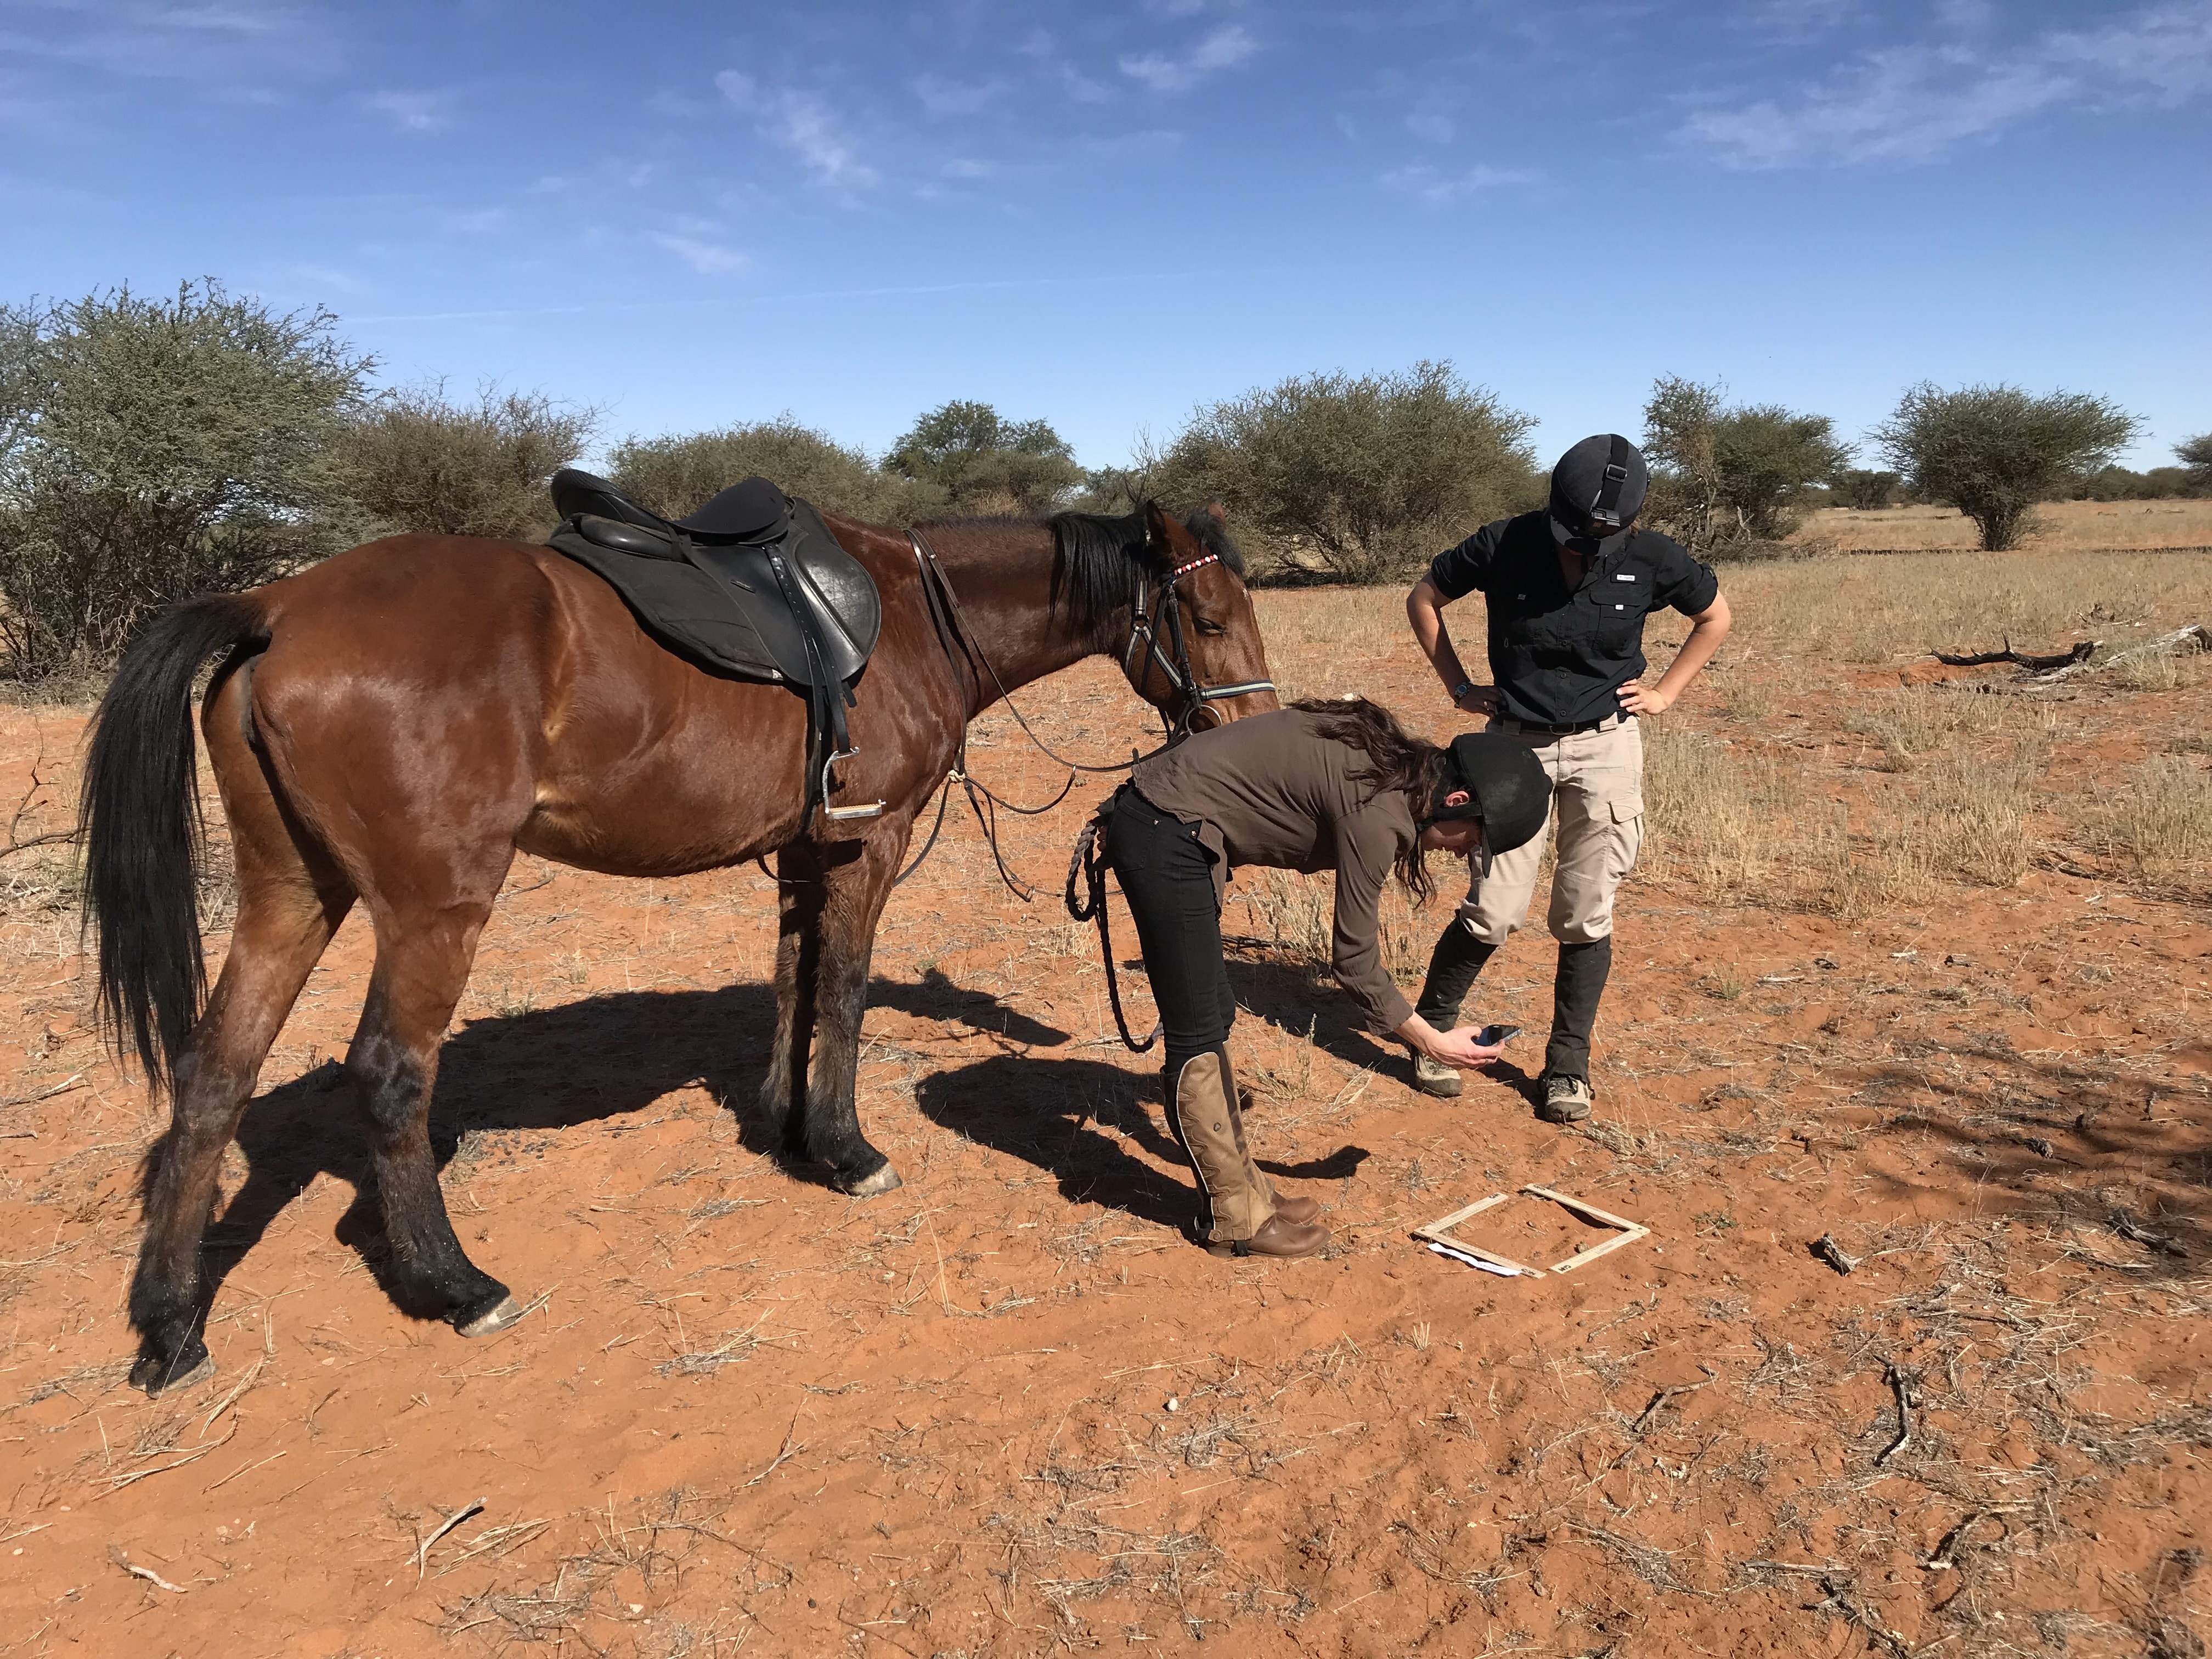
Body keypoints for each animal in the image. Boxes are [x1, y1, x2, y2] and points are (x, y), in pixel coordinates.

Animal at [82, 500, 1283, 1398]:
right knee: (387, 1075)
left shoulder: (805, 850)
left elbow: (794, 985)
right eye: (1207, 614)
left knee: (214, 1073)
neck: (913, 615)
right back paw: (455, 1284)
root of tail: (276, 606)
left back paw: (170, 1325)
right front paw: (846, 1150)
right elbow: (842, 993)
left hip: (292, 894)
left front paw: (788, 1130)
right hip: (432, 909)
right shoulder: (873, 844)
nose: (1248, 731)